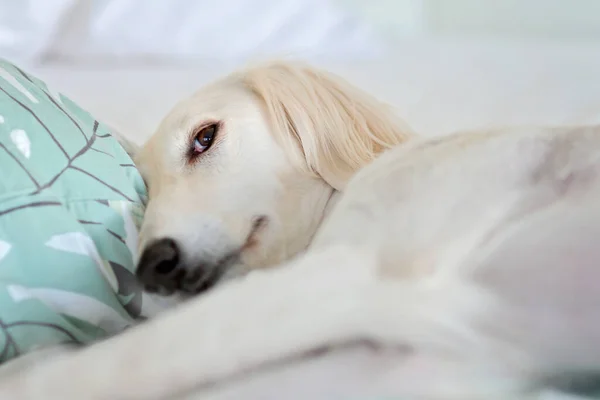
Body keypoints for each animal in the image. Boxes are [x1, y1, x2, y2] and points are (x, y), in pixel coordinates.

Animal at [1, 61, 600, 398]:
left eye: (204, 138)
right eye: (145, 187)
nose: (154, 267)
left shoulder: (346, 274)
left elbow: (111, 363)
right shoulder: (425, 364)